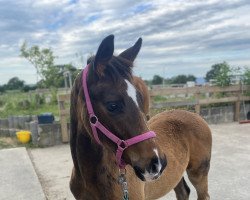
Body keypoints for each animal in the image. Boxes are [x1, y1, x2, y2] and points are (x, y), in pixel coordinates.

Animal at [69, 35, 212, 199]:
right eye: (112, 105)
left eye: (139, 99)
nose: (157, 164)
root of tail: (194, 115)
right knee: (183, 191)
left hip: (199, 173)